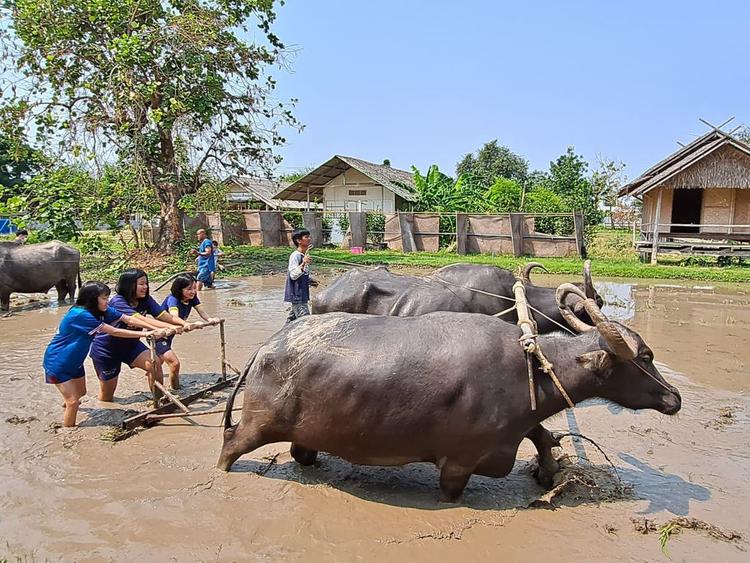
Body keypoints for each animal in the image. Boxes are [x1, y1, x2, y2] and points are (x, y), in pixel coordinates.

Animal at [217, 286, 680, 502]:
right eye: (646, 356)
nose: (674, 397)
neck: (531, 370)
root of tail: (266, 347)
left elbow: (541, 434)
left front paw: (548, 470)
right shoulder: (458, 465)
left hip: (307, 433)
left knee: (302, 453)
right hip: (255, 425)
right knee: (230, 443)